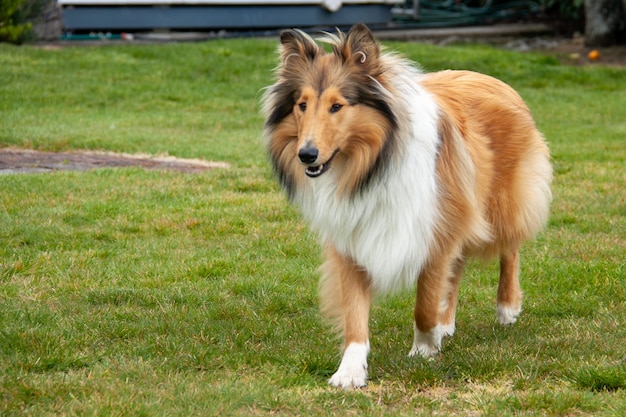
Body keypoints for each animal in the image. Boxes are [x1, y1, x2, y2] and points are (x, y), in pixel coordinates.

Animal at [260, 24, 548, 388]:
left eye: (337, 106)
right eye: (302, 104)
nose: (306, 155)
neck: (370, 166)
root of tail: (491, 78)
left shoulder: (433, 228)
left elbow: (424, 303)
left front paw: (424, 349)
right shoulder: (351, 236)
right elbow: (355, 312)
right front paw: (350, 370)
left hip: (501, 204)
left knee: (510, 248)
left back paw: (507, 307)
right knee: (457, 268)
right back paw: (447, 321)